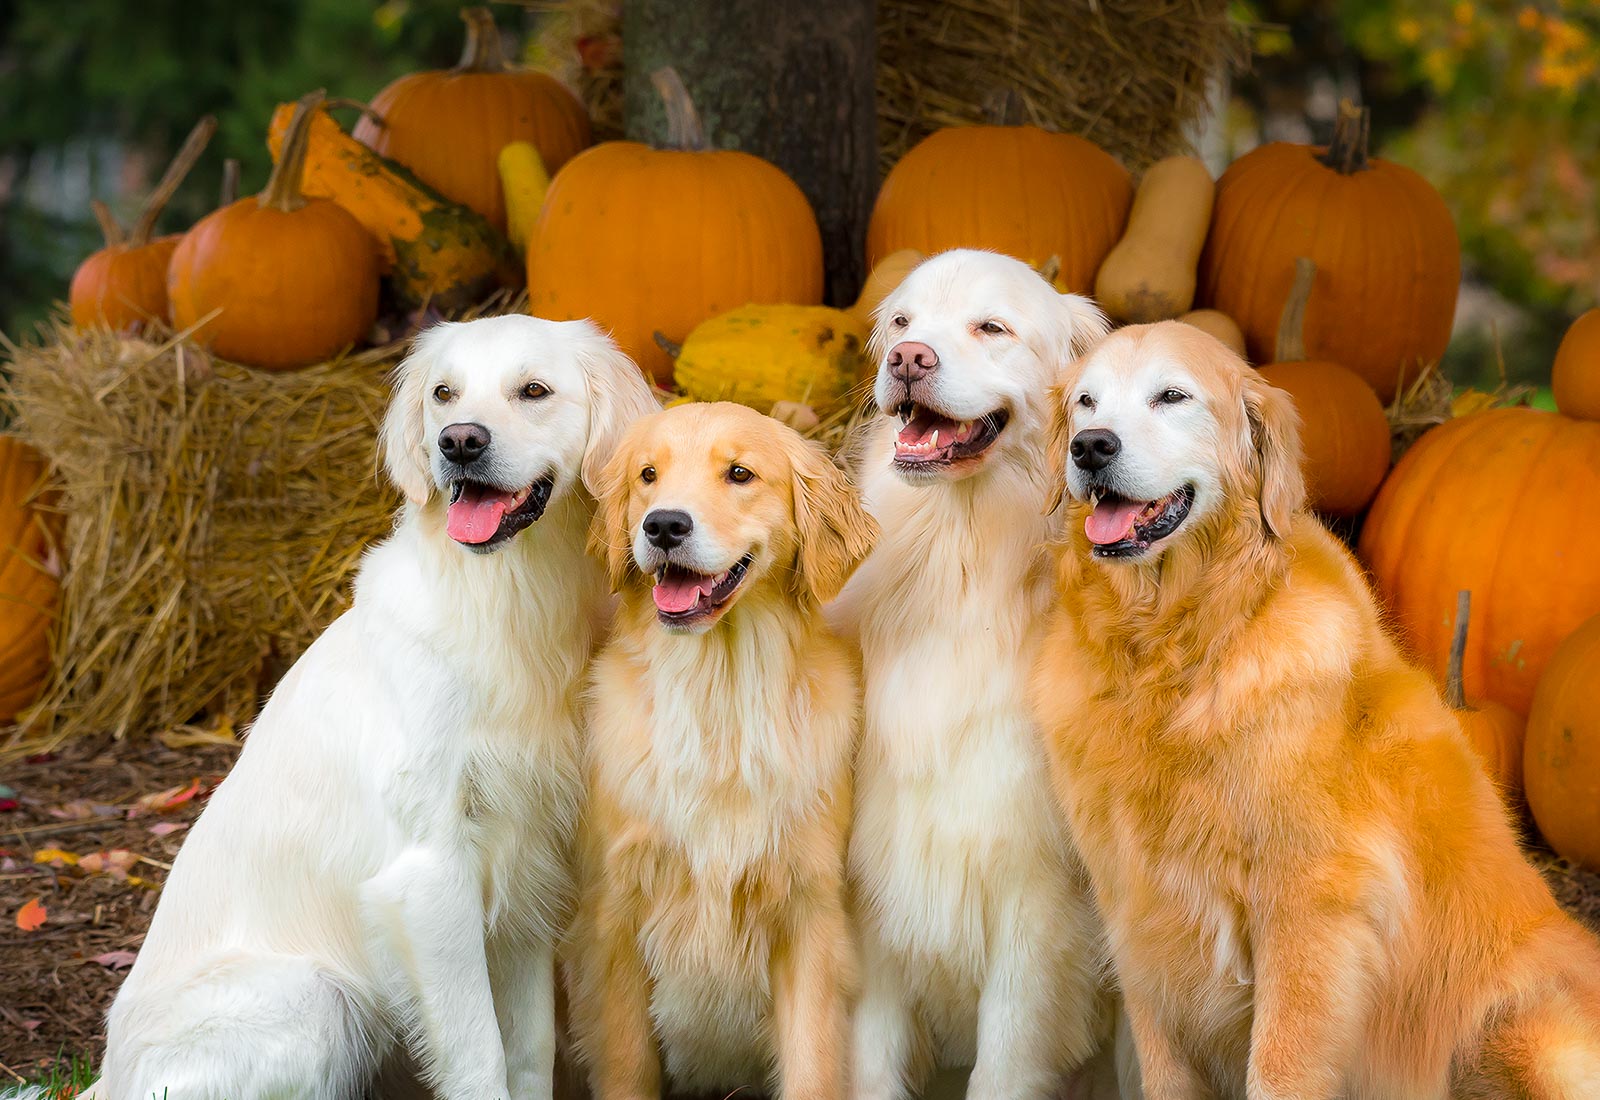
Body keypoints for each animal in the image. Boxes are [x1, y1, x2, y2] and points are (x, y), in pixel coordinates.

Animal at [87, 316, 659, 1100]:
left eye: (534, 390)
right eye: (444, 393)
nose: (458, 442)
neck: (504, 602)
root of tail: (105, 1077)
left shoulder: (526, 873)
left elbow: (529, 1051)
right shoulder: (429, 877)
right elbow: (479, 1061)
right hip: (316, 1001)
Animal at [572, 401, 876, 1100]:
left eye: (740, 473)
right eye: (648, 475)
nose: (663, 525)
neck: (720, 690)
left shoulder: (809, 914)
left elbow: (812, 1069)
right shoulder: (613, 917)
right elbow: (628, 1065)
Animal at [832, 249, 1120, 1100]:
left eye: (991, 327)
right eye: (902, 321)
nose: (907, 360)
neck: (957, 562)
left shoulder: (1036, 908)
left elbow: (1002, 1065)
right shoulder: (880, 892)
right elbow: (872, 1063)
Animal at [1030, 319, 1600, 1100]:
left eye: (1172, 396)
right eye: (1086, 402)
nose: (1091, 447)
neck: (1178, 650)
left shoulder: (1310, 904)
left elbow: (1280, 1066)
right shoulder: (1136, 912)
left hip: (1524, 1025)